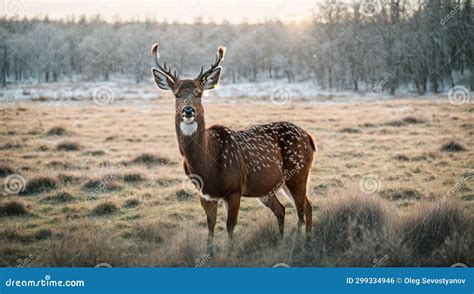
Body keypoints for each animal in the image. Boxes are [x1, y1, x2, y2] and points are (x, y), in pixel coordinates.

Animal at [151, 43, 314, 255]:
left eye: (199, 93)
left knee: (302, 209)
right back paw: (287, 242)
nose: (188, 111)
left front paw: (229, 253)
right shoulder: (204, 193)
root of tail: (310, 138)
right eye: (176, 94)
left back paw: (299, 245)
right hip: (268, 187)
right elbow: (210, 224)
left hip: (298, 172)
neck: (207, 165)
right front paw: (209, 253)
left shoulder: (235, 188)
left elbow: (230, 226)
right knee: (286, 209)